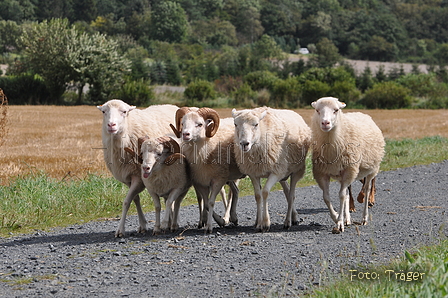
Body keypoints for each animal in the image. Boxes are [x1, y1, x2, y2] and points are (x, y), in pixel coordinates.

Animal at [96, 100, 178, 237]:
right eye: (103, 112)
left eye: (124, 112)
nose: (111, 125)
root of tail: (173, 105)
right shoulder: (129, 178)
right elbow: (135, 199)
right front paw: (142, 225)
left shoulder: (138, 176)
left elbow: (126, 202)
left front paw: (120, 230)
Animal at [310, 96, 386, 232]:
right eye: (317, 110)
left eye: (336, 110)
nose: (325, 123)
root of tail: (361, 113)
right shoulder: (322, 173)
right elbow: (327, 197)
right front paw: (337, 217)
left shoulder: (349, 170)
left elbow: (341, 196)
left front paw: (339, 223)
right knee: (346, 193)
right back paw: (348, 219)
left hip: (372, 170)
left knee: (367, 190)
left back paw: (364, 218)